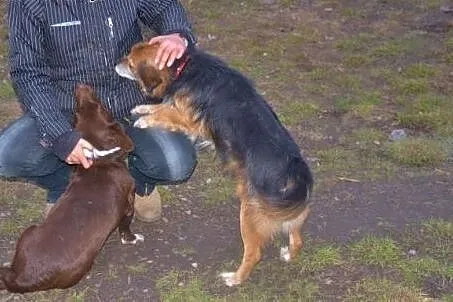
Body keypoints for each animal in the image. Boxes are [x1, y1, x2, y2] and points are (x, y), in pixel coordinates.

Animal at [0, 85, 143, 292]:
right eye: (102, 107)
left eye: (77, 112)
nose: (81, 86)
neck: (100, 158)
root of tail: (21, 278)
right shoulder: (128, 204)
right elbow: (126, 227)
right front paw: (132, 238)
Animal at [115, 42, 312, 286]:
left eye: (131, 63)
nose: (116, 64)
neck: (182, 67)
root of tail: (297, 179)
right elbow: (164, 106)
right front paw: (144, 109)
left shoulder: (190, 120)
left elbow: (168, 112)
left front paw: (145, 119)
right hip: (287, 216)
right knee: (297, 239)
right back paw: (288, 254)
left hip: (249, 213)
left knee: (254, 253)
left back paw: (235, 278)